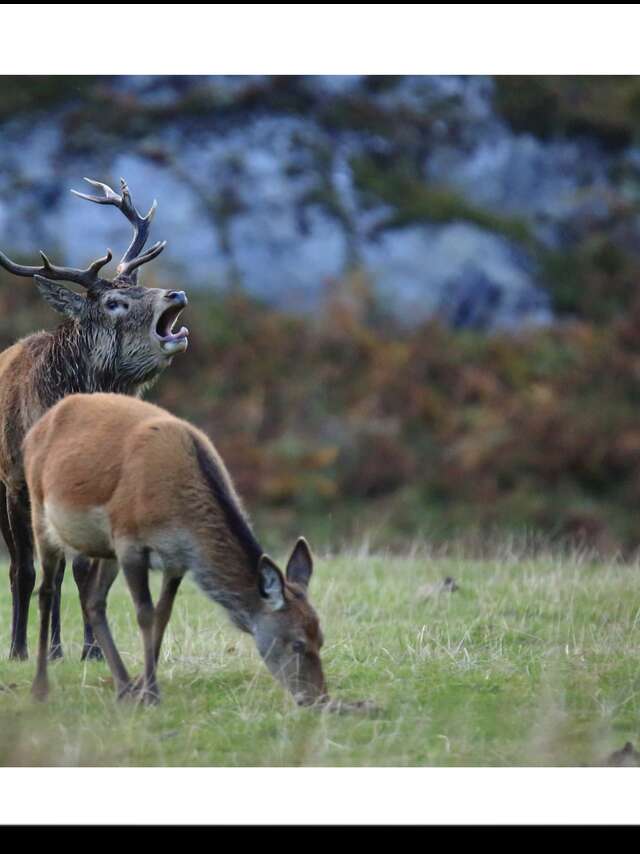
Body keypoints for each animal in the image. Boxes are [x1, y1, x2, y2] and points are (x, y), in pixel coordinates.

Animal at [0, 178, 189, 662]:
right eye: (115, 302)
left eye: (140, 284)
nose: (176, 294)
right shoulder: (17, 480)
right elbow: (25, 570)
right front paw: (19, 650)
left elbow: (89, 571)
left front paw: (94, 650)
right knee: (30, 567)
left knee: (62, 566)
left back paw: (57, 648)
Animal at [24, 392, 328, 708]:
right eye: (297, 643)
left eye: (321, 638)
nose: (319, 698)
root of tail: (38, 426)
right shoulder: (129, 541)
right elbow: (145, 614)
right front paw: (152, 695)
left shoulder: (176, 560)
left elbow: (163, 614)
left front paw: (143, 687)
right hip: (40, 511)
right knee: (46, 591)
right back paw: (40, 686)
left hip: (106, 549)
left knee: (94, 600)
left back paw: (123, 686)